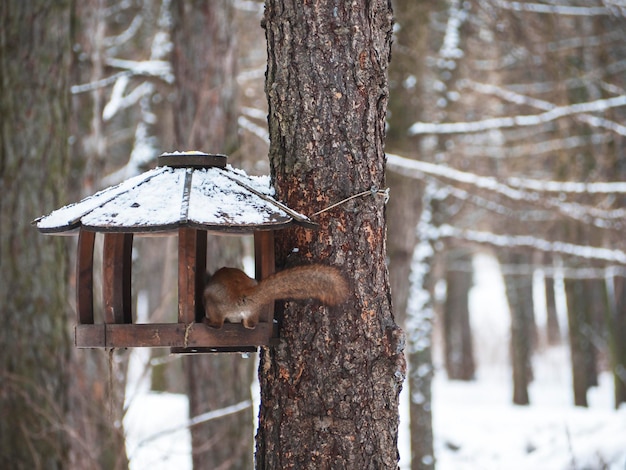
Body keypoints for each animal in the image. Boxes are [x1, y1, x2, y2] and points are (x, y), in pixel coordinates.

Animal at [202, 266, 348, 328]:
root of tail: (240, 293)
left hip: (213, 302)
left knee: (218, 324)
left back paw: (209, 322)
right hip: (253, 310)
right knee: (251, 325)